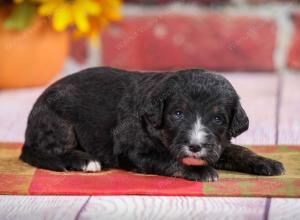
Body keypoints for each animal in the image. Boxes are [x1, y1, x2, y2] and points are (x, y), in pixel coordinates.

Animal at [19, 66, 284, 180]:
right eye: (177, 114)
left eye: (218, 118)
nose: (195, 147)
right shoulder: (136, 152)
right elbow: (169, 160)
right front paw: (200, 171)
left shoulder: (217, 143)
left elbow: (238, 149)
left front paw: (266, 162)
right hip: (58, 120)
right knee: (54, 150)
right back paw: (85, 160)